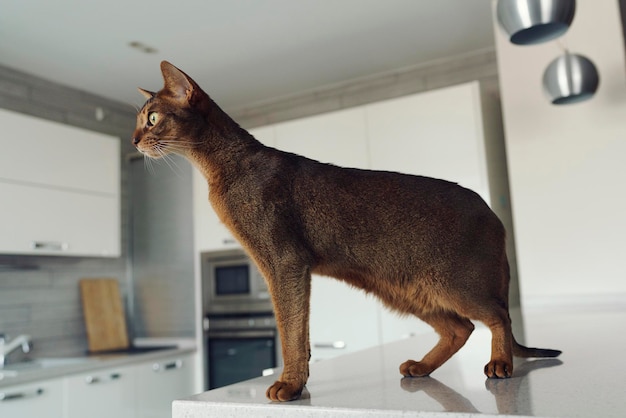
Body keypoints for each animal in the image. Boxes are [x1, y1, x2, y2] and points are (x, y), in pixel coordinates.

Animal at [130, 61, 556, 402]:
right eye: (138, 122)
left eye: (152, 119)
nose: (133, 141)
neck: (222, 169)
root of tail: (493, 213)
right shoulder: (275, 267)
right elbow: (296, 331)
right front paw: (297, 381)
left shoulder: (285, 263)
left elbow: (290, 331)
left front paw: (290, 384)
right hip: (407, 291)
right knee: (460, 328)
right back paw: (421, 367)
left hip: (454, 284)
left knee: (498, 315)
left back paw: (500, 362)